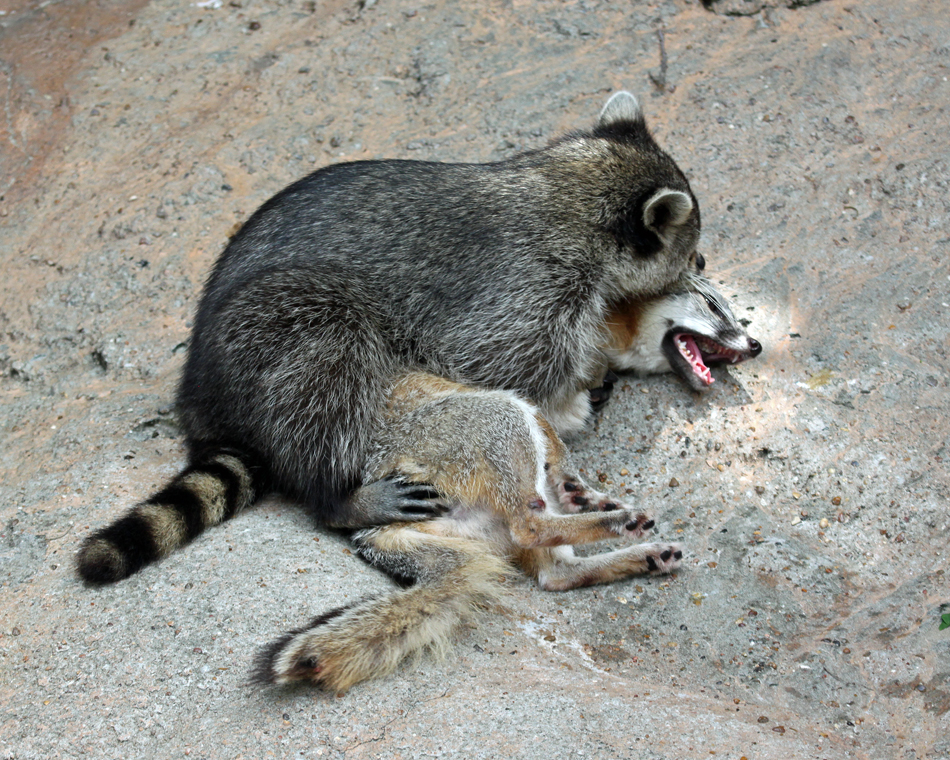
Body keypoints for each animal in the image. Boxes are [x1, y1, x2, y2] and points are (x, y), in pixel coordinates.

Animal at [76, 92, 708, 584]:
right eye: (691, 246)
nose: (703, 263)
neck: (563, 188)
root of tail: (199, 401)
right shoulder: (523, 289)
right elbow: (500, 371)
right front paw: (568, 407)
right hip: (277, 325)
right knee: (328, 369)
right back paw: (338, 496)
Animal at [253, 274, 760, 696]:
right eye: (714, 306)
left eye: (738, 316)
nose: (755, 344)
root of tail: (373, 530)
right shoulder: (526, 391)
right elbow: (557, 440)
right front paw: (583, 490)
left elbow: (563, 464)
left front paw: (582, 493)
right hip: (501, 415)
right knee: (529, 525)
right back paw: (622, 522)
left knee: (555, 573)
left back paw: (641, 552)